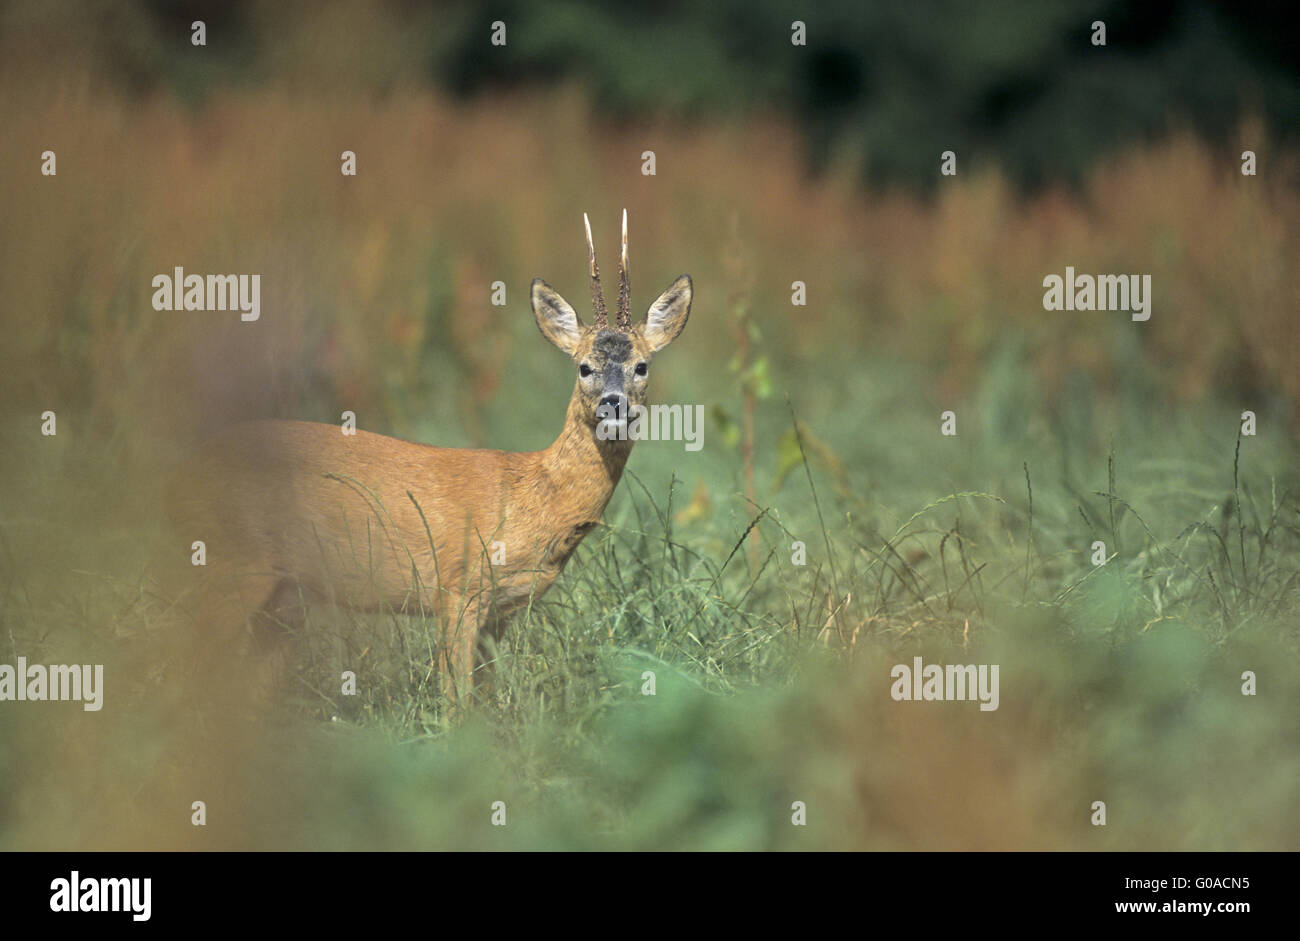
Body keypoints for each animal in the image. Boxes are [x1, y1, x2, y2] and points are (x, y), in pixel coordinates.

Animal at [165, 211, 691, 707]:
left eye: (641, 366)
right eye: (583, 367)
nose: (613, 405)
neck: (532, 494)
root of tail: (181, 474)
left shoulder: (499, 612)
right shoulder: (457, 586)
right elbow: (455, 699)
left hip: (281, 597)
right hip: (229, 564)